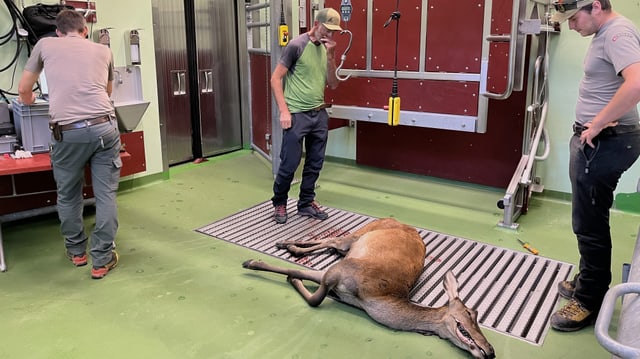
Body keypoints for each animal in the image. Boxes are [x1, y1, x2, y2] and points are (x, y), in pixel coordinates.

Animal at [242, 218, 498, 358]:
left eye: (477, 313)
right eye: (470, 314)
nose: (491, 350)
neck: (373, 300)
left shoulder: (336, 277)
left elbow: (311, 289)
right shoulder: (339, 271)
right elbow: (312, 295)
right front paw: (252, 263)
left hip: (348, 247)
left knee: (330, 243)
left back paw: (288, 244)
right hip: (357, 236)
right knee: (331, 240)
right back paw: (287, 244)